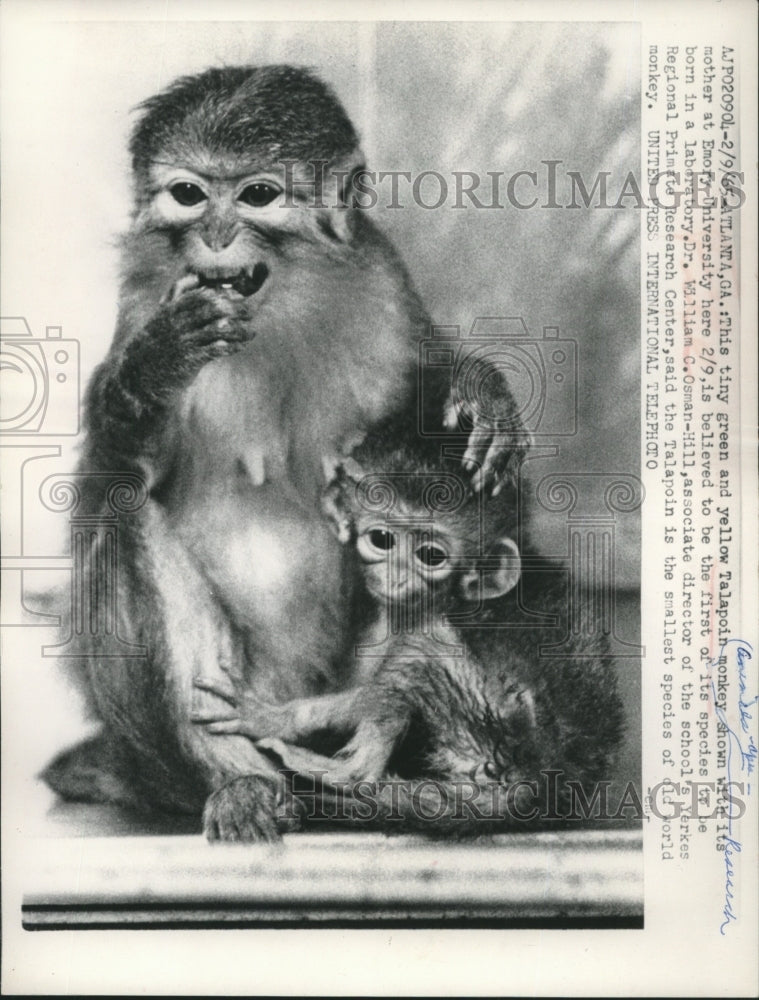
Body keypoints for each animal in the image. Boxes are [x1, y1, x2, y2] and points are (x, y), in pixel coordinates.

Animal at [42, 65, 525, 841]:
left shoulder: (381, 284)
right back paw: (243, 781)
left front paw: (478, 388)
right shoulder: (145, 298)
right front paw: (155, 365)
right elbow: (114, 479)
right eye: (189, 193)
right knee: (128, 514)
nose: (214, 233)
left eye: (257, 195)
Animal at [192, 433, 624, 835]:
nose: (397, 577)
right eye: (381, 539)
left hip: (490, 720)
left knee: (420, 650)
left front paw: (272, 718)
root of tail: (545, 778)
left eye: (431, 556)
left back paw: (344, 774)